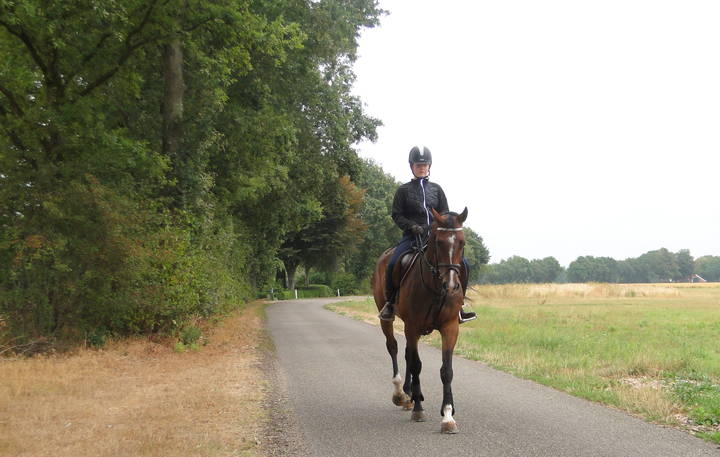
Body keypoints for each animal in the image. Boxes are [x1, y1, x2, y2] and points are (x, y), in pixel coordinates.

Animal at [372, 207, 468, 434]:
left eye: (462, 242)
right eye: (438, 242)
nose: (451, 286)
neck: (436, 288)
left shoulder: (450, 327)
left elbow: (446, 371)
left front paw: (448, 416)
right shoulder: (413, 326)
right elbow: (416, 365)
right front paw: (418, 409)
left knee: (407, 353)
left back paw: (408, 395)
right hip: (388, 320)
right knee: (394, 347)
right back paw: (401, 394)